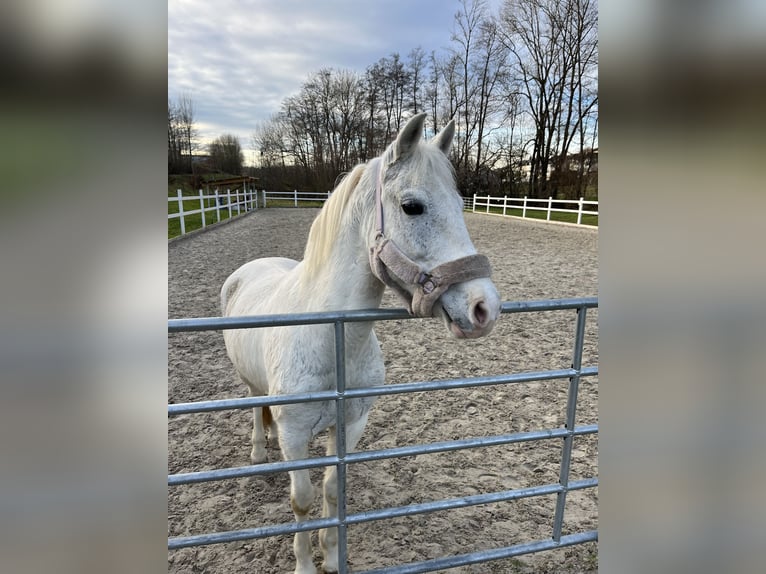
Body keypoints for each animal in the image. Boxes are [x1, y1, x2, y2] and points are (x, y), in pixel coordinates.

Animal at [220, 113, 504, 574]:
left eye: (462, 206)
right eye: (412, 206)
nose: (485, 308)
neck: (332, 338)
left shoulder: (350, 425)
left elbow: (333, 491)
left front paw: (333, 558)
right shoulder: (295, 435)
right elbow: (302, 501)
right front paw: (305, 564)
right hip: (251, 387)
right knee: (255, 407)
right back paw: (259, 453)